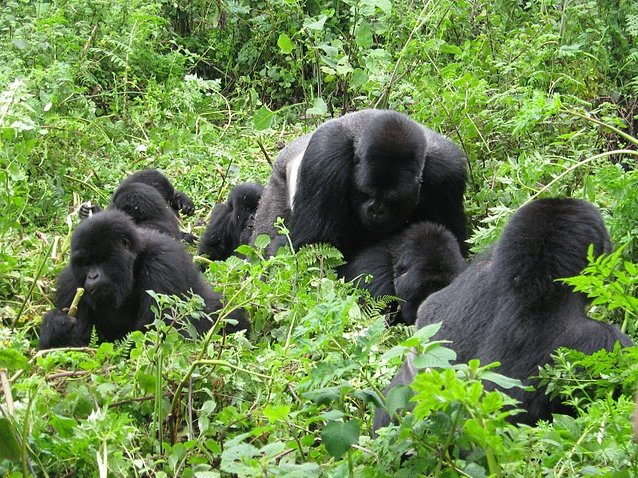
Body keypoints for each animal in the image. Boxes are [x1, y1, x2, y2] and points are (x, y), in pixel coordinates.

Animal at [39, 209, 250, 348]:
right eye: (86, 263)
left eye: (102, 260)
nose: (92, 276)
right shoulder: (70, 282)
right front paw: (56, 327)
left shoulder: (162, 262)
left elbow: (155, 334)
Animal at [252, 109, 468, 260]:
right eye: (366, 192)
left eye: (393, 200)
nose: (376, 210)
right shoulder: (325, 155)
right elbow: (307, 244)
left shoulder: (448, 172)